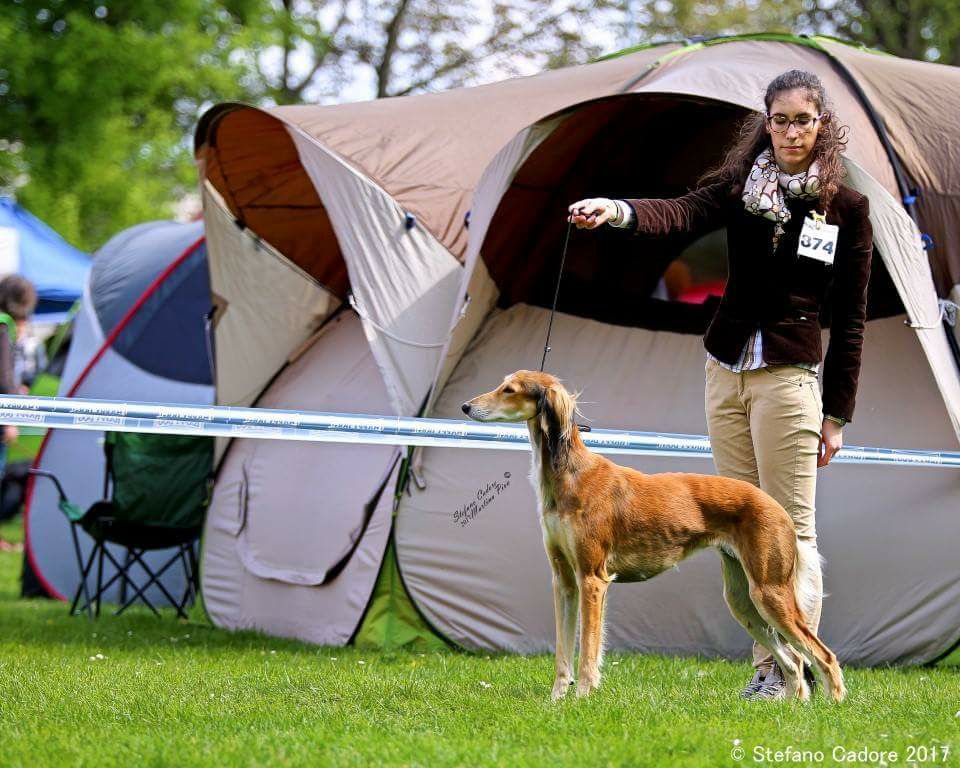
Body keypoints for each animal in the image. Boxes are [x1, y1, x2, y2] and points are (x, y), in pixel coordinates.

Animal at [462, 370, 844, 704]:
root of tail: (777, 507)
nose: (465, 407)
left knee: (822, 654)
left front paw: (582, 698)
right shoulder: (564, 581)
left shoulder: (592, 579)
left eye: (509, 389)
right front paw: (556, 702)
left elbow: (588, 649)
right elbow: (563, 652)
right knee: (794, 660)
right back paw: (791, 707)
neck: (570, 473)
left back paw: (834, 707)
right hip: (744, 600)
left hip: (770, 592)